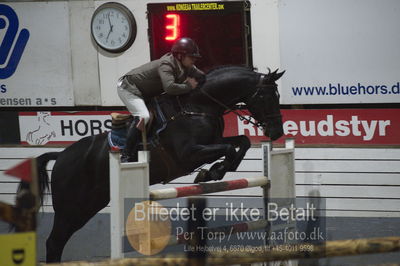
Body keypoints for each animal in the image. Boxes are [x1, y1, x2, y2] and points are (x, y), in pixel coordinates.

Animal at [33, 66, 284, 262]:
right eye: (266, 97)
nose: (277, 132)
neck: (199, 105)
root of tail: (61, 156)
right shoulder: (187, 155)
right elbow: (229, 149)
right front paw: (212, 172)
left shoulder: (214, 141)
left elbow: (241, 142)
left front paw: (216, 171)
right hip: (71, 207)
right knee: (54, 242)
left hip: (89, 205)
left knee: (58, 241)